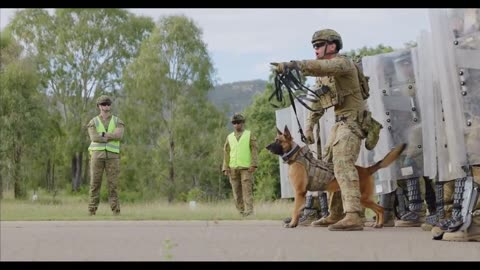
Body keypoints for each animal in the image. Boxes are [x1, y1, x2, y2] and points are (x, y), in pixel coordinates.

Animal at [266, 125, 404, 229]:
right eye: (275, 139)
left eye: (278, 140)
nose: (266, 146)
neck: (295, 156)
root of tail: (366, 169)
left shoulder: (299, 192)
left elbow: (295, 210)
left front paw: (292, 224)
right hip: (363, 198)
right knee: (378, 209)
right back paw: (377, 224)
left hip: (361, 198)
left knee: (380, 208)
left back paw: (378, 224)